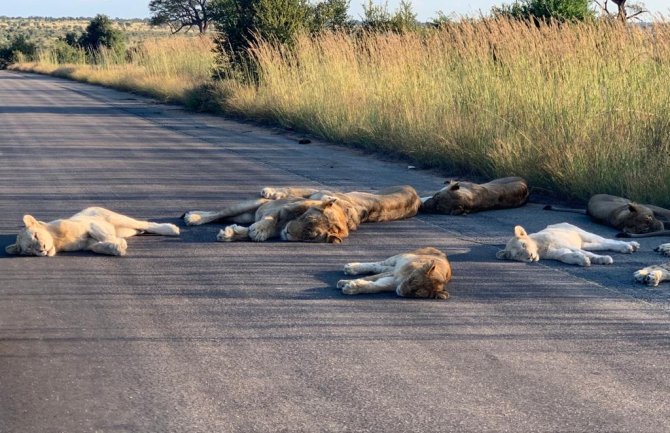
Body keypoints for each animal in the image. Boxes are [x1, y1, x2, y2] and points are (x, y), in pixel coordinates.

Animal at [3, 207, 181, 256]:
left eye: (35, 235)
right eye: (29, 249)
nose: (42, 250)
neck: (58, 241)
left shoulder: (90, 224)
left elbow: (102, 235)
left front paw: (117, 244)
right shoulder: (86, 244)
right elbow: (96, 247)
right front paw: (116, 247)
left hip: (115, 218)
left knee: (146, 223)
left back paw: (171, 228)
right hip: (126, 230)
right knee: (138, 229)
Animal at [498, 223, 640, 266]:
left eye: (523, 245)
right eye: (518, 255)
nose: (529, 257)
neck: (540, 248)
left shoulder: (566, 245)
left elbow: (589, 254)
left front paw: (603, 259)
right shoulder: (558, 253)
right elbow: (567, 257)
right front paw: (583, 261)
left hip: (583, 233)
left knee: (608, 241)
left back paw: (630, 246)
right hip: (585, 243)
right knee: (603, 245)